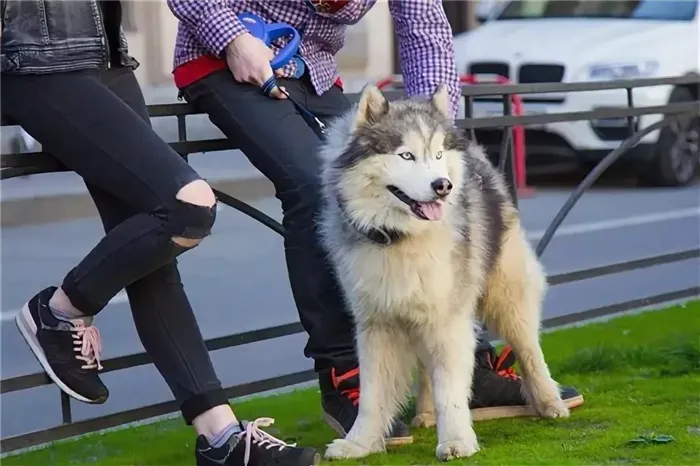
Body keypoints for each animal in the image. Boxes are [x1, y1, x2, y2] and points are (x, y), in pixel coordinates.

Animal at [318, 85, 568, 460]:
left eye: (436, 154)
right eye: (406, 156)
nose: (443, 185)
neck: (400, 237)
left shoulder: (448, 320)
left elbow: (449, 388)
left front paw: (456, 440)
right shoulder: (377, 324)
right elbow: (373, 394)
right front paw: (360, 443)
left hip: (505, 293)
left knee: (528, 347)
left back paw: (550, 401)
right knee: (426, 367)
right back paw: (424, 413)